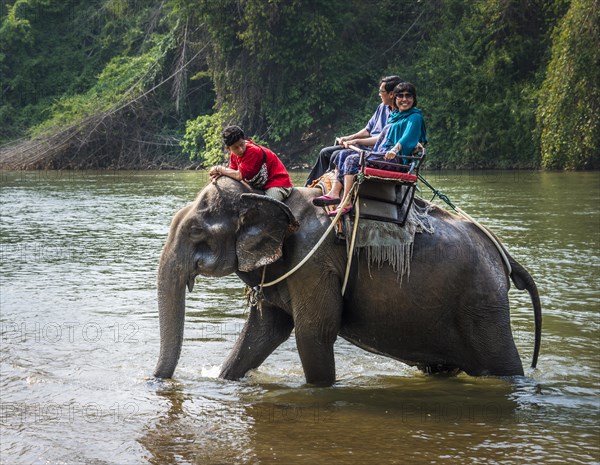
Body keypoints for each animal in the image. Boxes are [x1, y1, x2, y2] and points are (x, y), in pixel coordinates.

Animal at [152, 176, 540, 386]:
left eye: (196, 231)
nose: (155, 381)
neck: (264, 193)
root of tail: (502, 254)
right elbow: (263, 332)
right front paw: (223, 378)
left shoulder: (313, 261)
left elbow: (313, 332)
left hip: (482, 305)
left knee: (504, 366)